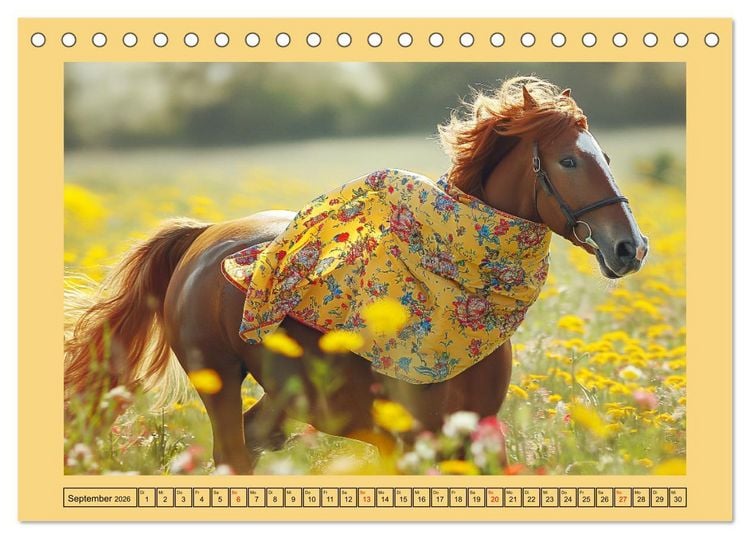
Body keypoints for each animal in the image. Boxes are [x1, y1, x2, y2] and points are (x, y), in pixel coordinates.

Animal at [64, 76, 649, 474]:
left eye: (606, 155)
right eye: (569, 161)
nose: (630, 247)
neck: (449, 289)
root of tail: (204, 236)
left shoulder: (474, 438)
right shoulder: (414, 440)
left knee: (253, 441)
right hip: (219, 380)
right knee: (232, 455)